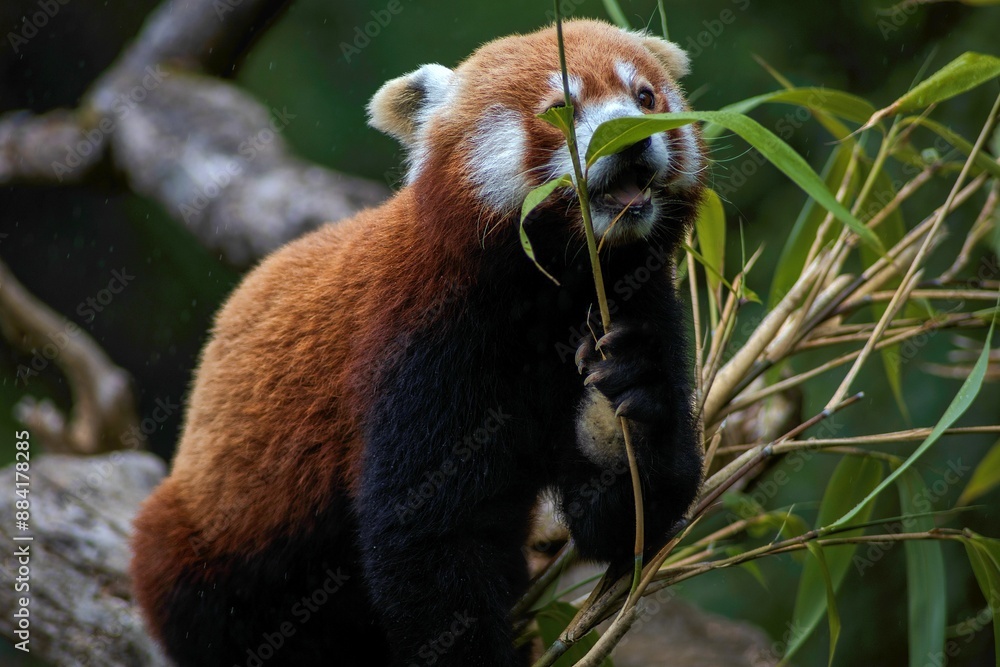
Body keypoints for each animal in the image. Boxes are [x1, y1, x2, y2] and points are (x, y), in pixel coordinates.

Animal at [130, 18, 705, 667]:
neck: (551, 293)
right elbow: (428, 537)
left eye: (645, 98)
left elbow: (622, 519)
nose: (630, 140)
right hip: (210, 537)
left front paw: (628, 395)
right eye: (561, 108)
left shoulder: (643, 304)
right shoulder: (421, 346)